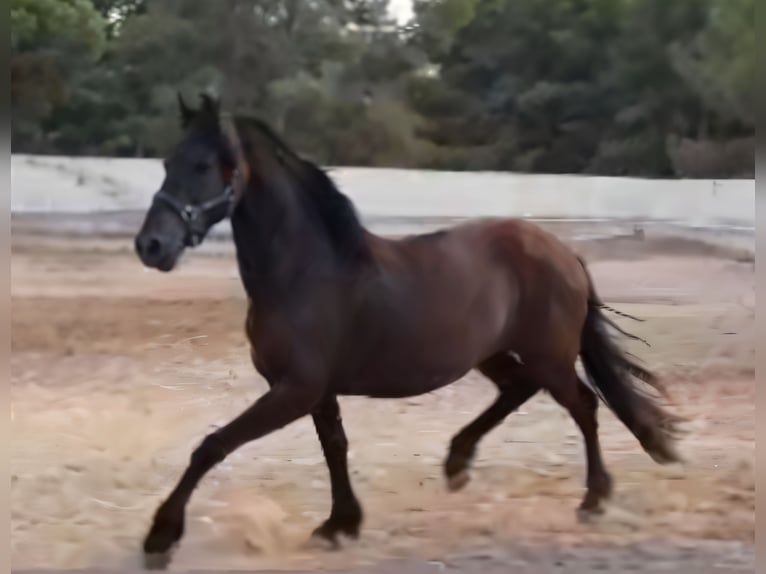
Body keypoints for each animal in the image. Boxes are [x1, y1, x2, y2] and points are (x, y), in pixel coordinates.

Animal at [134, 93, 682, 568]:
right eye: (166, 163)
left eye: (202, 165)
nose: (151, 246)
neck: (307, 272)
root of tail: (563, 252)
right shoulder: (316, 391)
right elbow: (334, 447)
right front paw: (340, 524)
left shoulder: (295, 389)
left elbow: (212, 446)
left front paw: (160, 537)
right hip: (492, 353)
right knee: (518, 388)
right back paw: (457, 463)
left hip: (549, 355)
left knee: (584, 405)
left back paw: (593, 499)